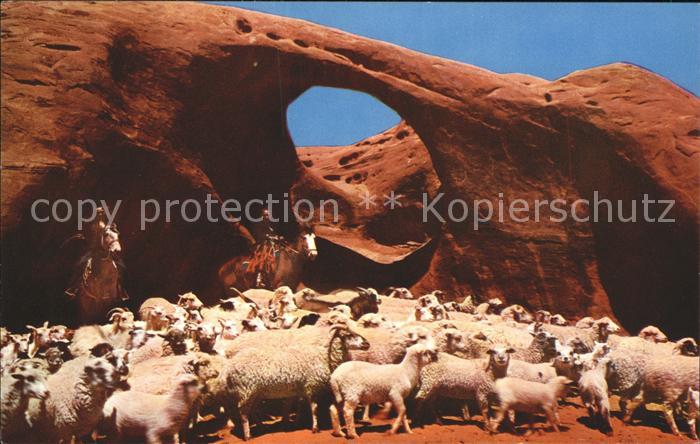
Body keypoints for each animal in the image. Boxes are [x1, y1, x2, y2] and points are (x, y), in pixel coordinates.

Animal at [225, 323, 370, 440]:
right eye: (349, 335)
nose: (367, 343)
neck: (324, 356)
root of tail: (230, 366)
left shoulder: (302, 389)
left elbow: (300, 405)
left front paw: (295, 422)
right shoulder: (311, 386)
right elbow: (314, 408)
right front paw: (315, 428)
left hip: (255, 393)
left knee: (254, 410)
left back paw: (261, 426)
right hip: (246, 391)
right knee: (243, 413)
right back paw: (248, 435)